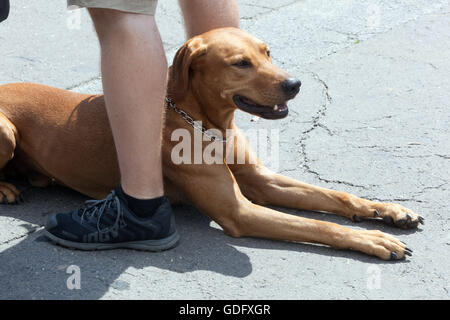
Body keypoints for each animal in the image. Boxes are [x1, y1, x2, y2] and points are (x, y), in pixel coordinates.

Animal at [0, 27, 422, 260]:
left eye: (266, 52)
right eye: (240, 63)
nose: (295, 84)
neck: (207, 124)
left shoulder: (261, 181)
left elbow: (336, 197)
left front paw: (387, 210)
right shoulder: (240, 211)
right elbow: (319, 226)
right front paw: (372, 239)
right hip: (6, 131)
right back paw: (6, 188)